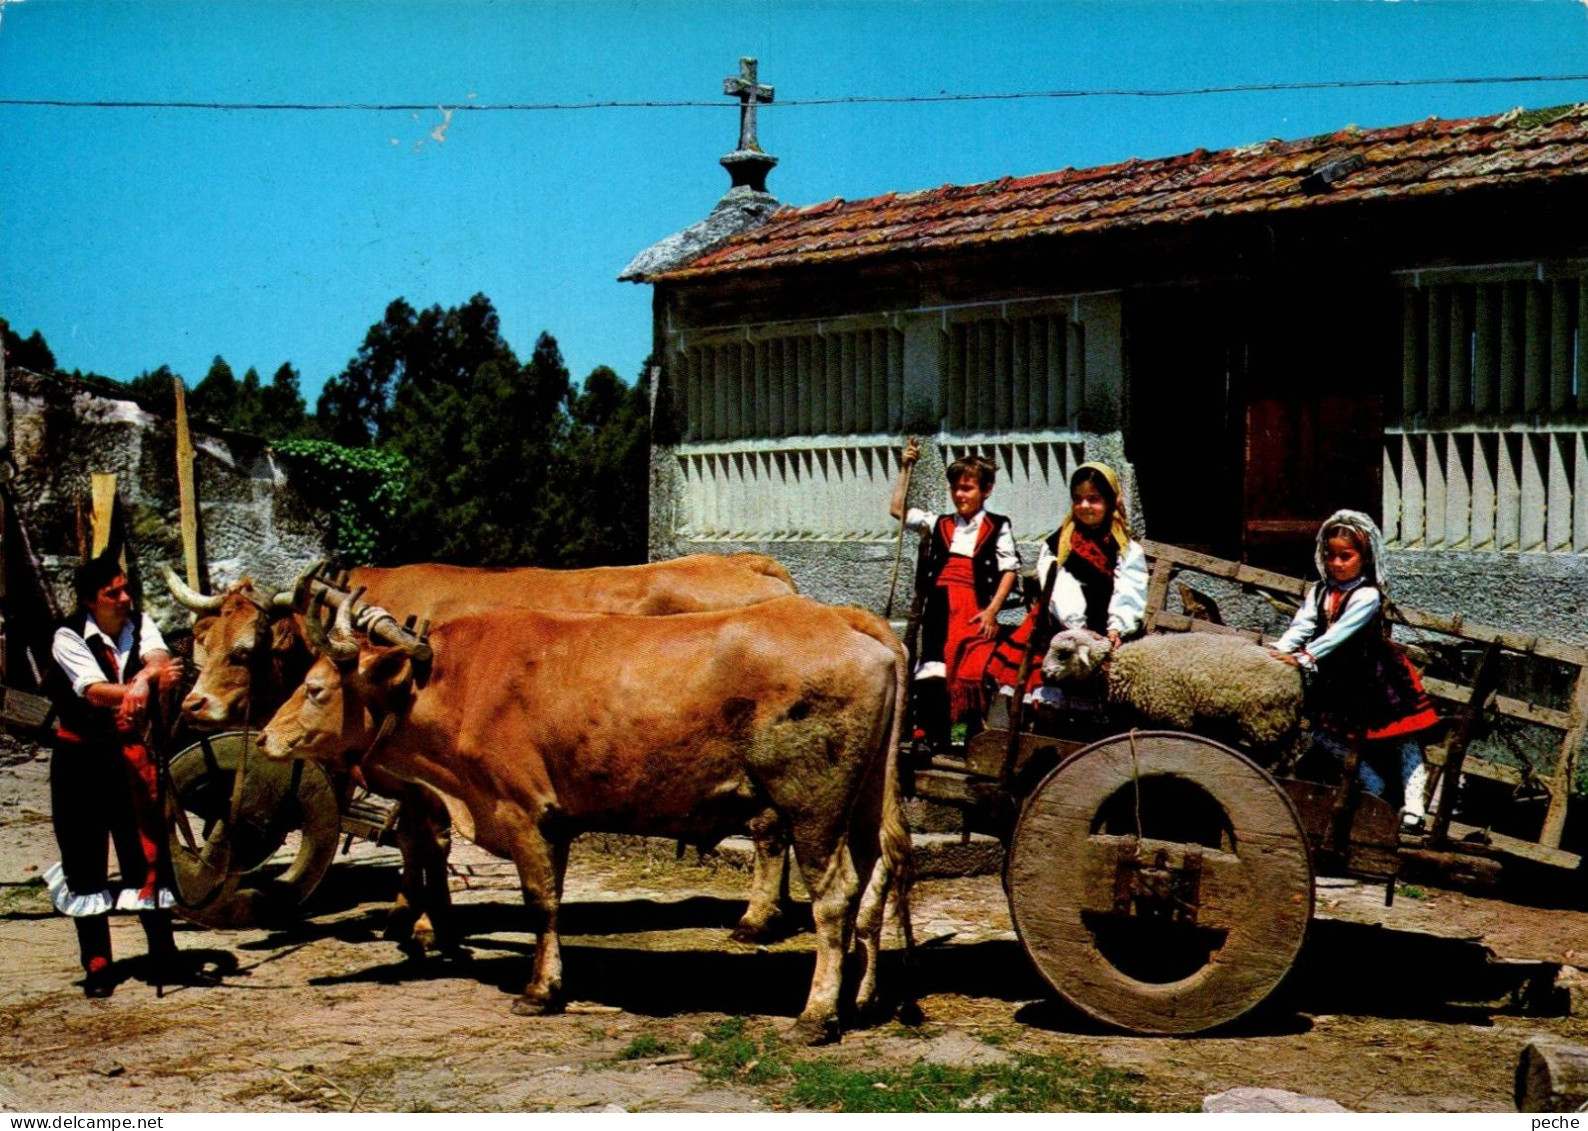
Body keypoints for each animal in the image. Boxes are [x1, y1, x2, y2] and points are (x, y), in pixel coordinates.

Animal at [1041, 625, 1302, 759]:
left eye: (1063, 654)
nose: (1044, 674)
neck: (1124, 669)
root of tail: (1297, 681)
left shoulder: (1174, 716)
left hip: (1264, 721)